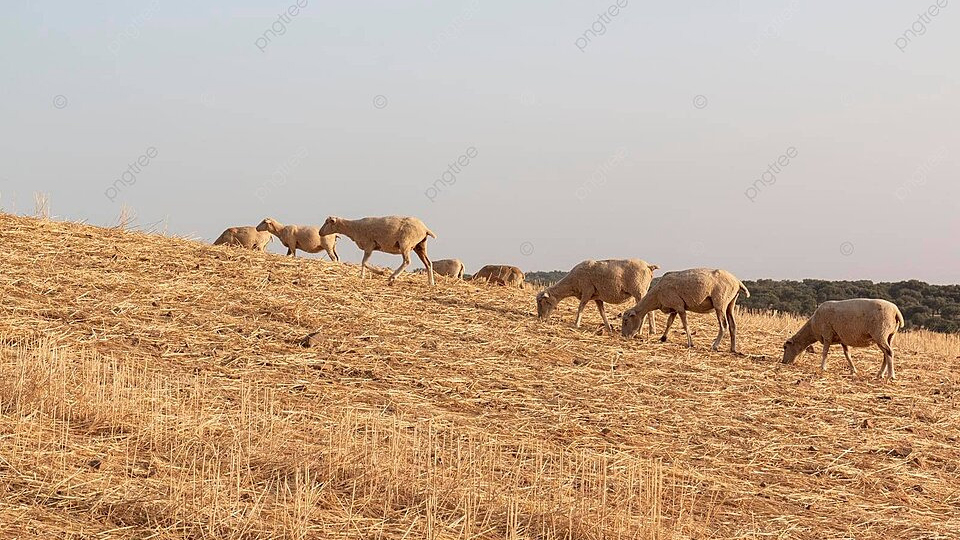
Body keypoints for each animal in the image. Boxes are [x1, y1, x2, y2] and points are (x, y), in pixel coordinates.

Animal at [532, 260, 660, 336]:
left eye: (542, 301)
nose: (540, 318)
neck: (572, 283)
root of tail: (649, 266)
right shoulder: (597, 297)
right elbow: (602, 312)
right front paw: (608, 328)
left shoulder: (587, 291)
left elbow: (581, 307)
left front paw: (576, 324)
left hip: (639, 290)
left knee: (648, 312)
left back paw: (646, 331)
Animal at [624, 266, 752, 354]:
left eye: (625, 320)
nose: (624, 336)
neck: (656, 296)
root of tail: (737, 282)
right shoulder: (674, 308)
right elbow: (669, 323)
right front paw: (663, 338)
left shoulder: (679, 307)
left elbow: (685, 325)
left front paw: (690, 343)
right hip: (730, 303)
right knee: (733, 325)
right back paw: (733, 349)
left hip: (720, 303)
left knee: (724, 325)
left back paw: (715, 346)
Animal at [780, 300, 908, 380]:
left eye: (785, 347)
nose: (783, 362)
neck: (812, 327)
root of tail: (896, 311)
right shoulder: (842, 339)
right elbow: (847, 355)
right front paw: (853, 370)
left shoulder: (827, 335)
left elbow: (825, 352)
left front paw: (822, 367)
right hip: (889, 335)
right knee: (886, 354)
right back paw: (880, 374)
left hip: (880, 333)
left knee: (889, 352)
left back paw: (890, 375)